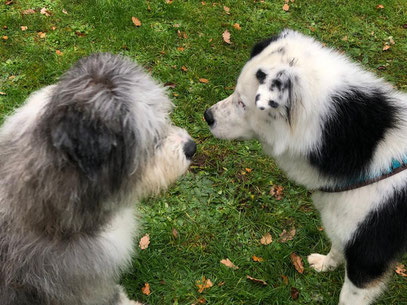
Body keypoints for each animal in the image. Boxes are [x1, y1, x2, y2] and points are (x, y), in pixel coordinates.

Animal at [206, 29, 406, 304]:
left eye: (243, 103)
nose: (207, 116)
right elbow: (336, 247)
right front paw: (325, 264)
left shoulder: (368, 257)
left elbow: (348, 295)